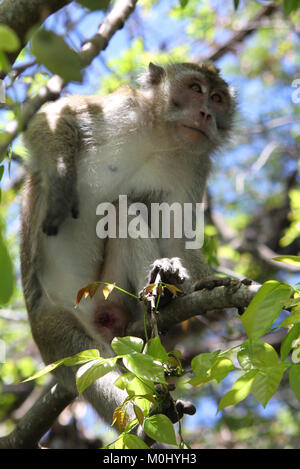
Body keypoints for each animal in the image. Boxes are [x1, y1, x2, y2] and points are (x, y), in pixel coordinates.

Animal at [21, 63, 236, 432]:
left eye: (218, 98)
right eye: (195, 88)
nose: (207, 113)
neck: (161, 138)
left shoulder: (194, 165)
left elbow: (177, 235)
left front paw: (203, 282)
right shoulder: (123, 109)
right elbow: (50, 118)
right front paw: (60, 183)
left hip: (114, 294)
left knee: (125, 209)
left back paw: (161, 291)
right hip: (52, 324)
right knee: (88, 361)